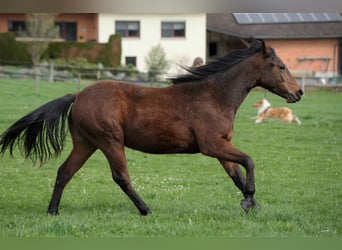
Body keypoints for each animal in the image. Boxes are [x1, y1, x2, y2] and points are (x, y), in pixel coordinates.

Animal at [0, 39, 302, 215]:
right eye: (280, 66)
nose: (298, 93)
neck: (214, 96)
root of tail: (78, 95)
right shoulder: (211, 145)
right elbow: (249, 161)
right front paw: (249, 200)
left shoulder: (221, 146)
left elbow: (237, 175)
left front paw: (254, 206)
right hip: (110, 141)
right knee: (121, 177)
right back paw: (146, 209)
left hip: (86, 143)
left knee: (65, 172)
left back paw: (52, 212)